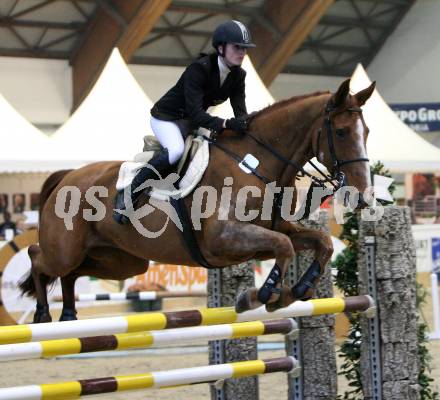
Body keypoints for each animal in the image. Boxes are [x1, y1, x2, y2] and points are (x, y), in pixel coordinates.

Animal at [20, 78, 374, 322]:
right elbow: (285, 248)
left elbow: (320, 243)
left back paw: (67, 313)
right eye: (341, 132)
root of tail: (66, 176)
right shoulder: (224, 238)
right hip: (66, 250)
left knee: (72, 272)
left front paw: (297, 291)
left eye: (367, 132)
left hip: (123, 261)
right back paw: (43, 313)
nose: (362, 195)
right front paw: (261, 296)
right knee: (39, 257)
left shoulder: (266, 236)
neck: (253, 163)